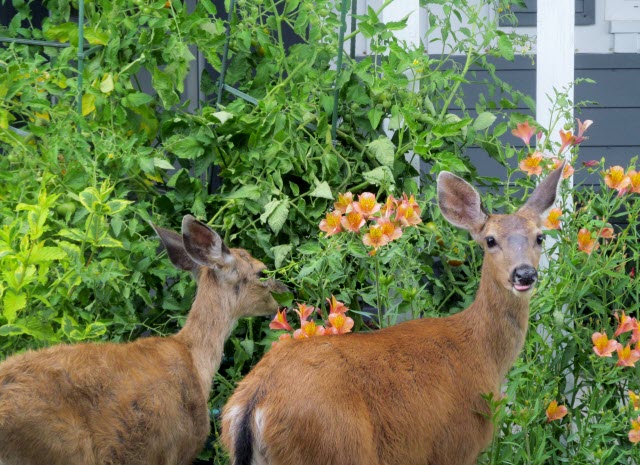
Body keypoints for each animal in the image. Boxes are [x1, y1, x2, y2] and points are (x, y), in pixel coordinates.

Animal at [221, 164, 564, 464]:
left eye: (539, 237)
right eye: (490, 240)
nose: (524, 274)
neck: (484, 353)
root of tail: (254, 403)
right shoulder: (458, 444)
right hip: (337, 448)